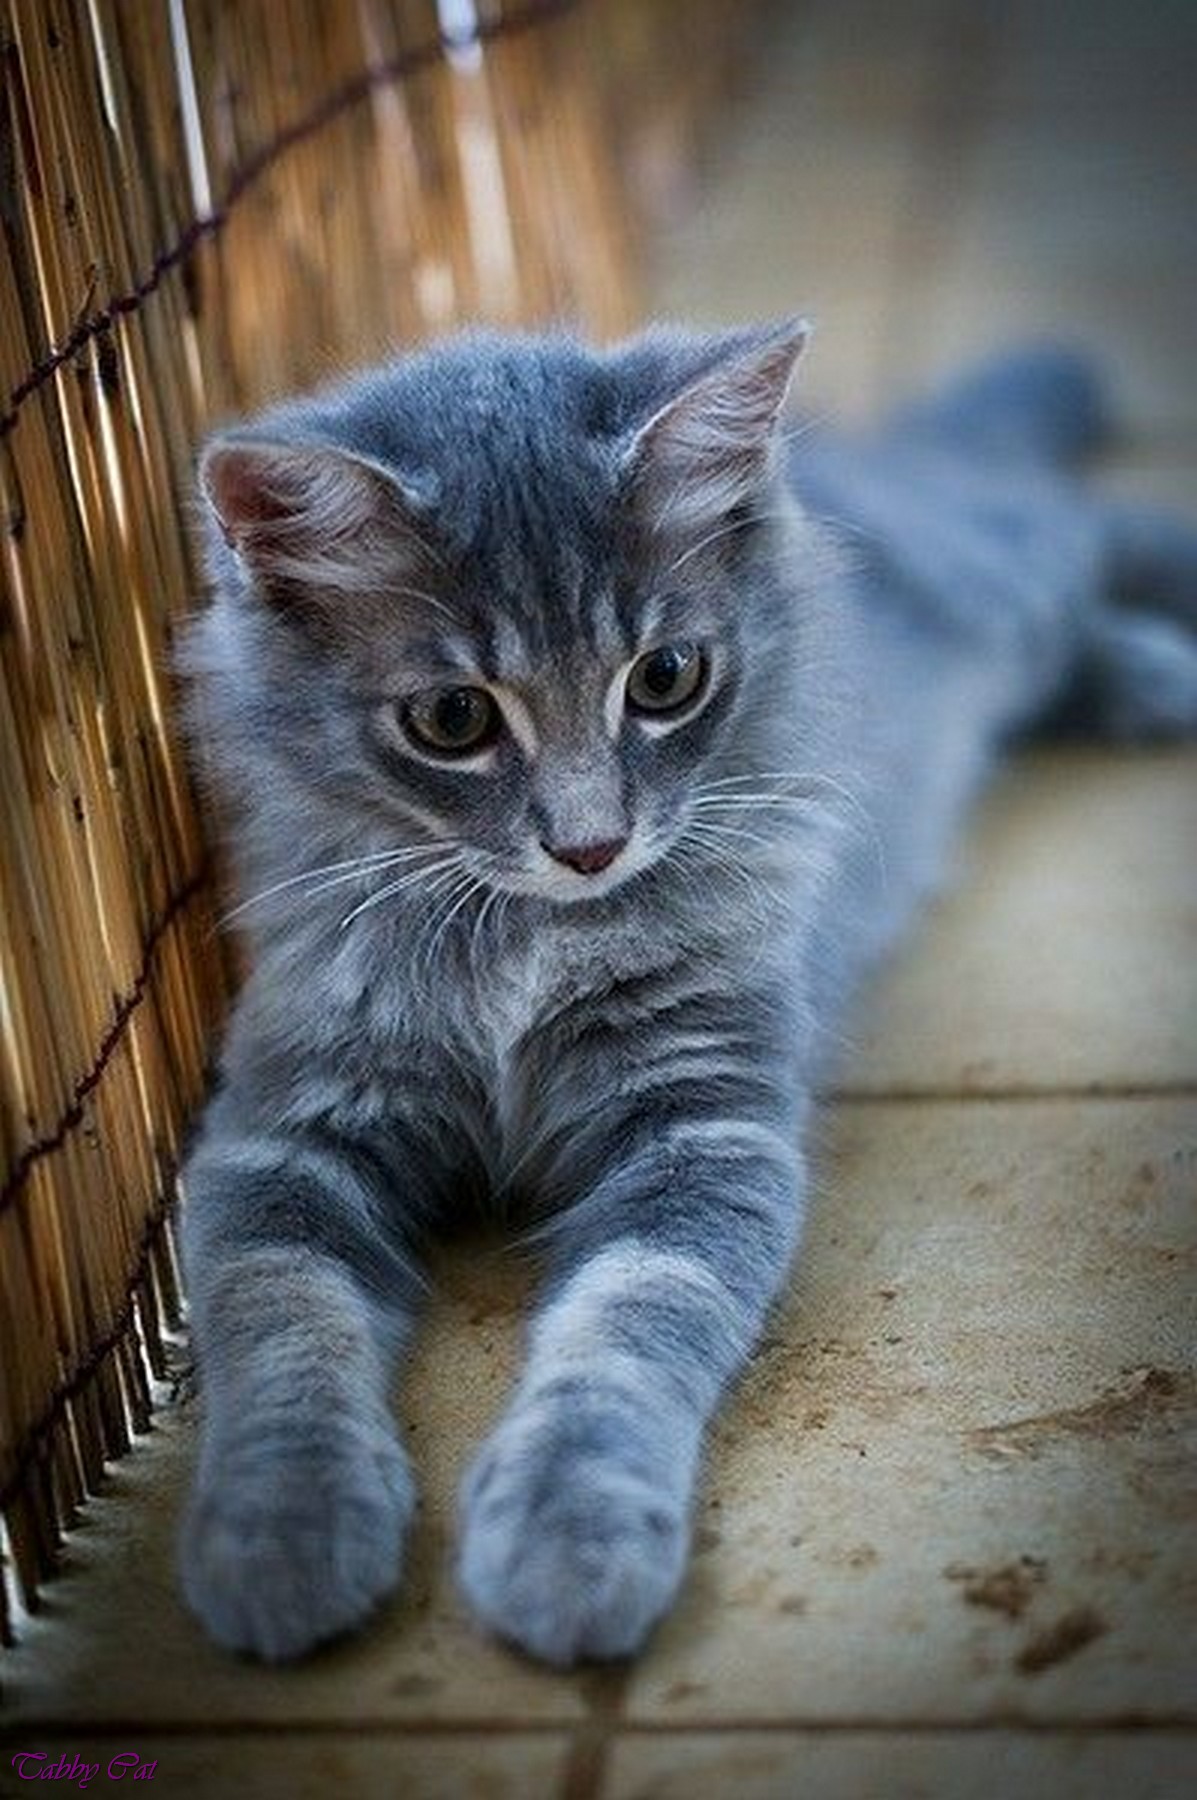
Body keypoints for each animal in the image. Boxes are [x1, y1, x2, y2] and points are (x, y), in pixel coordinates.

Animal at [177, 320, 1195, 1656]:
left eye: (662, 679)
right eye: (453, 718)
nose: (591, 845)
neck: (522, 948)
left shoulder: (701, 1125)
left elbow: (625, 1329)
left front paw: (570, 1531)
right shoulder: (285, 1131)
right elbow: (282, 1323)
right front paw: (283, 1523)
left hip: (1004, 570)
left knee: (1083, 522)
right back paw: (1145, 672)